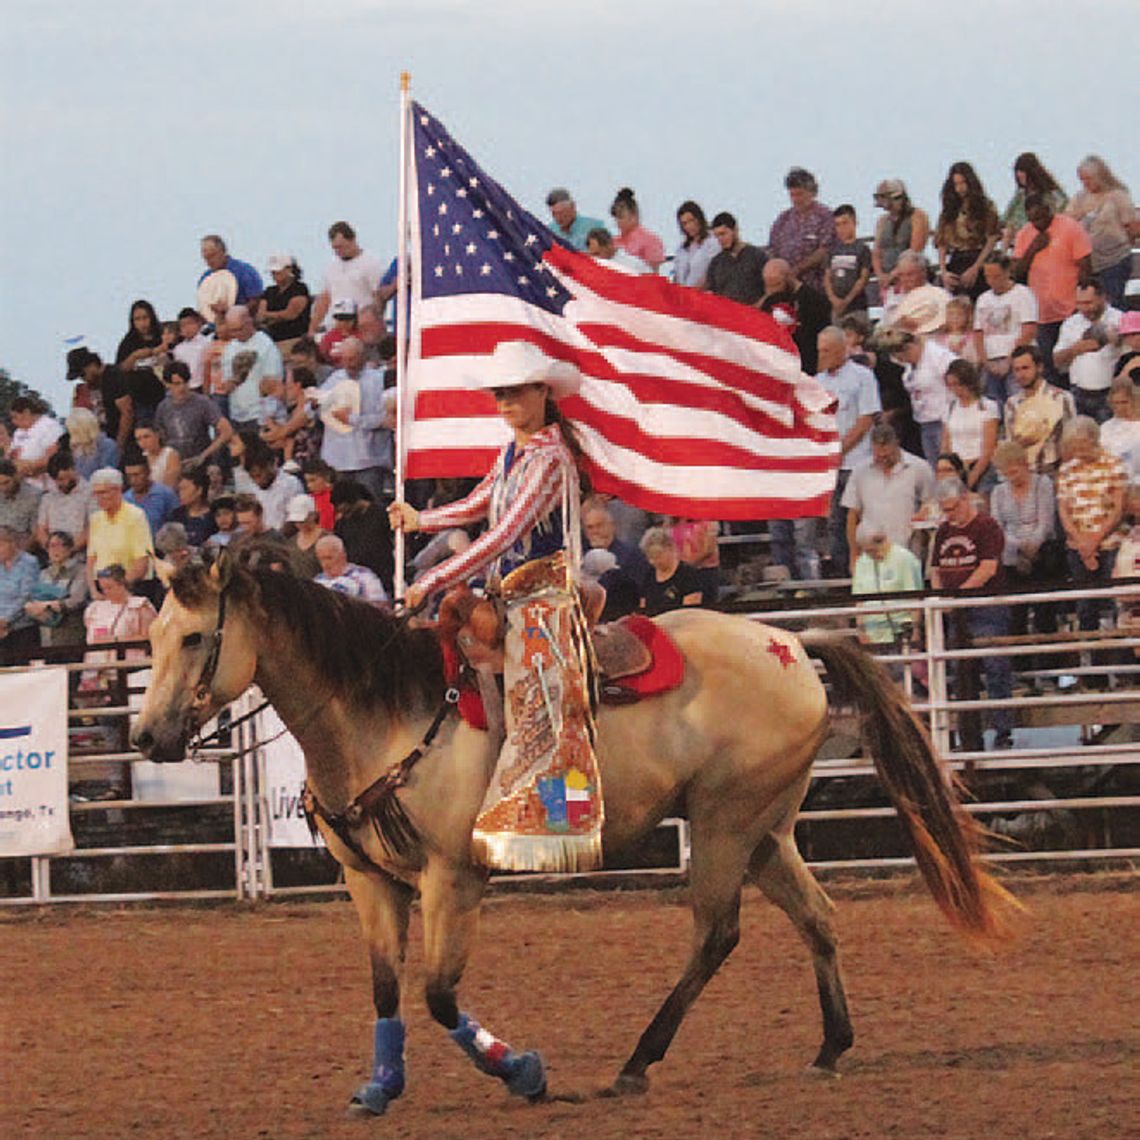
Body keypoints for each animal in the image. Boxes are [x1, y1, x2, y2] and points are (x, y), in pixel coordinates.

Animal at [133, 556, 1016, 1117]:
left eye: (194, 637)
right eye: (151, 637)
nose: (147, 737)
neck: (385, 714)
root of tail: (794, 643)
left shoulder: (453, 878)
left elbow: (439, 993)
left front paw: (522, 1072)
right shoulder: (370, 881)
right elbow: (386, 991)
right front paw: (379, 1087)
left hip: (726, 824)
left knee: (717, 933)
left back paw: (636, 1063)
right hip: (767, 827)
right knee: (817, 919)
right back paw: (830, 1048)